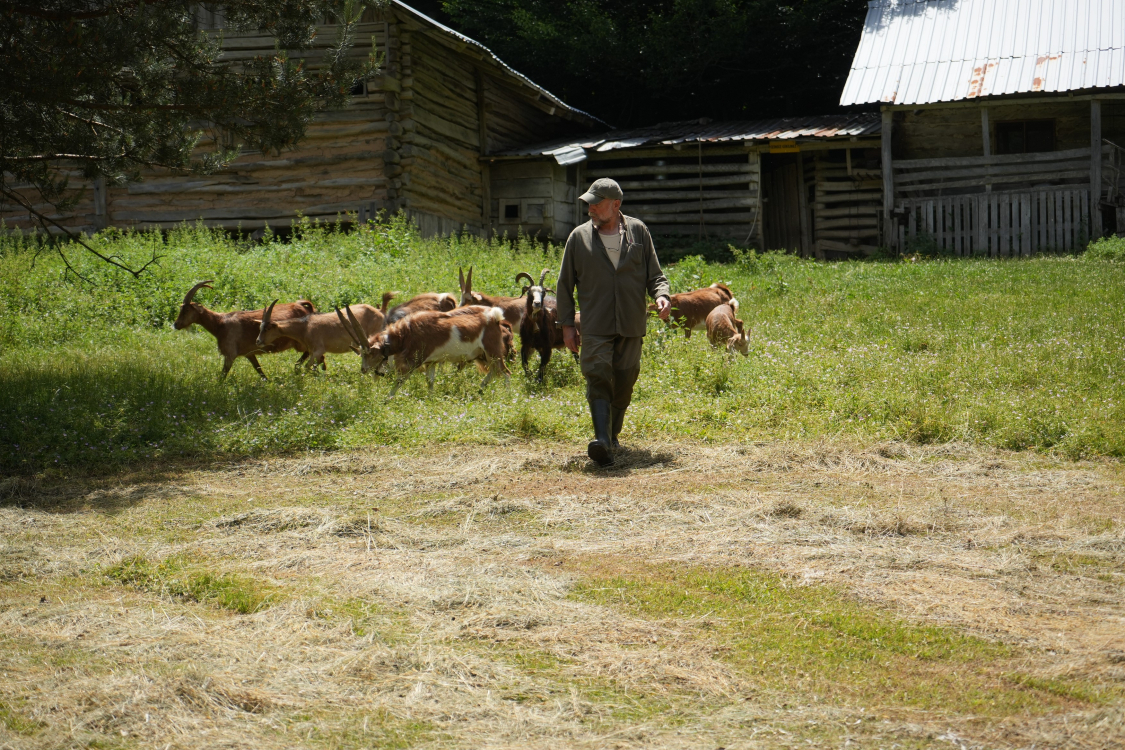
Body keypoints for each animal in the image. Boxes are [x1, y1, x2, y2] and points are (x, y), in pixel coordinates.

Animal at [174, 279, 317, 382]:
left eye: (187, 309)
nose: (175, 325)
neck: (220, 324)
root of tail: (305, 307)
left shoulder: (230, 354)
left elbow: (223, 375)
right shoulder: (249, 353)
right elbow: (259, 370)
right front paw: (269, 382)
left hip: (300, 342)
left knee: (310, 352)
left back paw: (298, 368)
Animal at [333, 305, 510, 398]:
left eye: (369, 353)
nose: (364, 369)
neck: (406, 333)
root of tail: (494, 316)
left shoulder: (413, 362)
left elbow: (399, 381)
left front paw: (387, 400)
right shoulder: (431, 362)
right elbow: (430, 381)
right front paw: (430, 398)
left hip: (492, 351)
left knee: (505, 371)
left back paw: (506, 395)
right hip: (482, 355)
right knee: (494, 371)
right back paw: (480, 389)